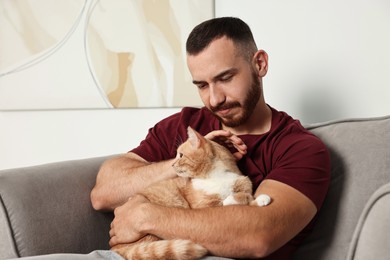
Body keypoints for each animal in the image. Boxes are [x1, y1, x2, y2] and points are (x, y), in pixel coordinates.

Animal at [111, 127, 266, 258]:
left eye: (181, 155)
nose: (172, 164)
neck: (217, 177)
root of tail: (115, 248)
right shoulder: (204, 207)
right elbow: (227, 202)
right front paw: (232, 199)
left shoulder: (244, 184)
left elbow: (247, 196)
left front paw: (260, 199)